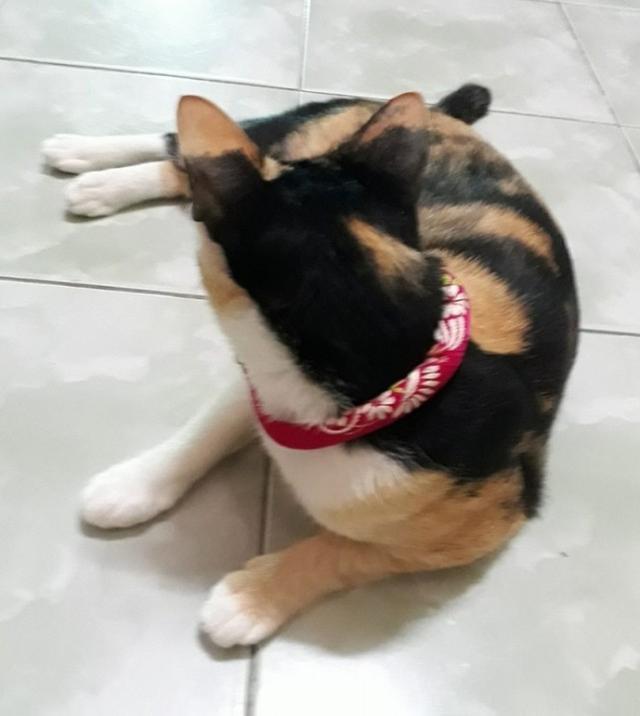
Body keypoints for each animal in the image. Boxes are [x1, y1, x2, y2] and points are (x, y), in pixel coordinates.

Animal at [42, 84, 578, 648]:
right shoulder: (257, 380)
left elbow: (354, 550)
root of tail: (444, 115)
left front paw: (249, 599)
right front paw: (134, 486)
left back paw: (94, 177)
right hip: (299, 128)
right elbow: (210, 427)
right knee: (192, 147)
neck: (386, 374)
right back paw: (87, 162)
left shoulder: (493, 514)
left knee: (186, 166)